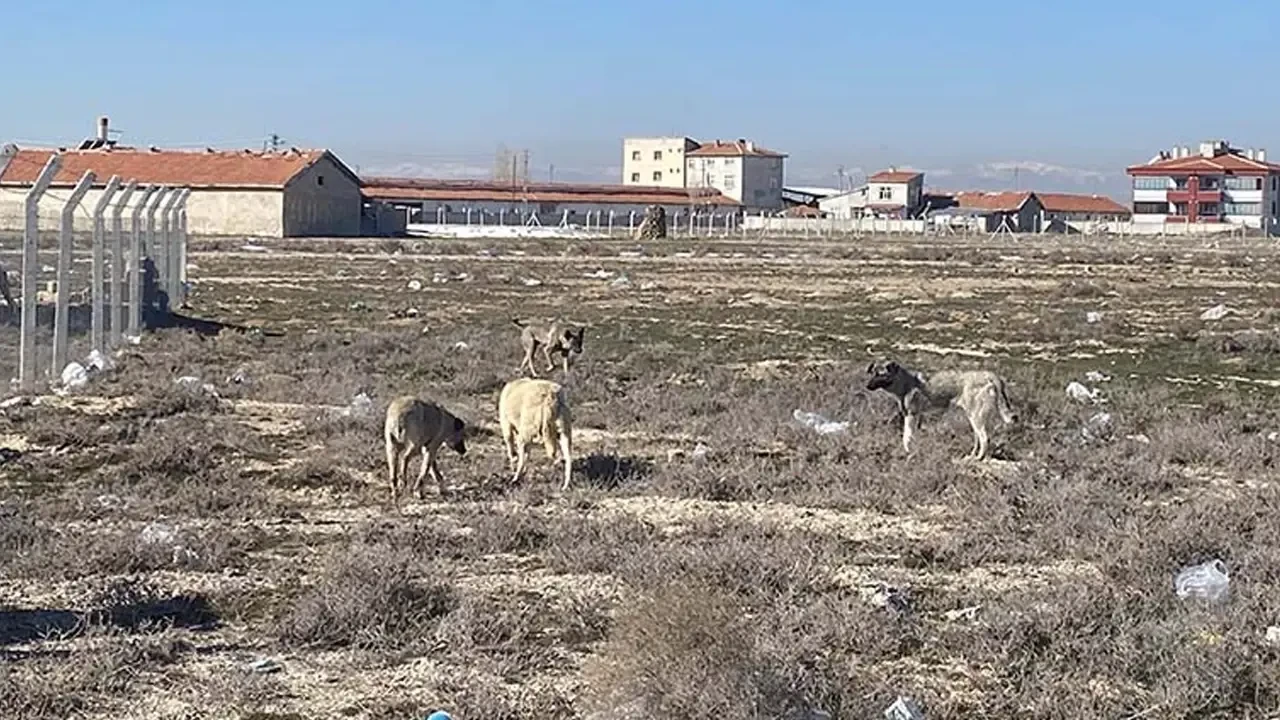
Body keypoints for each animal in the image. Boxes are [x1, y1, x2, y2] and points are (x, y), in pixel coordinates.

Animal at [865, 356, 1013, 458]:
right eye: (873, 373)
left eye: (881, 375)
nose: (867, 386)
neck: (905, 383)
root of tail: (990, 375)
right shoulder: (916, 417)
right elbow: (911, 436)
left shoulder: (911, 416)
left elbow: (906, 437)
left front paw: (908, 452)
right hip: (976, 417)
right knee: (980, 438)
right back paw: (972, 455)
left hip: (976, 417)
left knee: (984, 438)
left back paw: (979, 458)